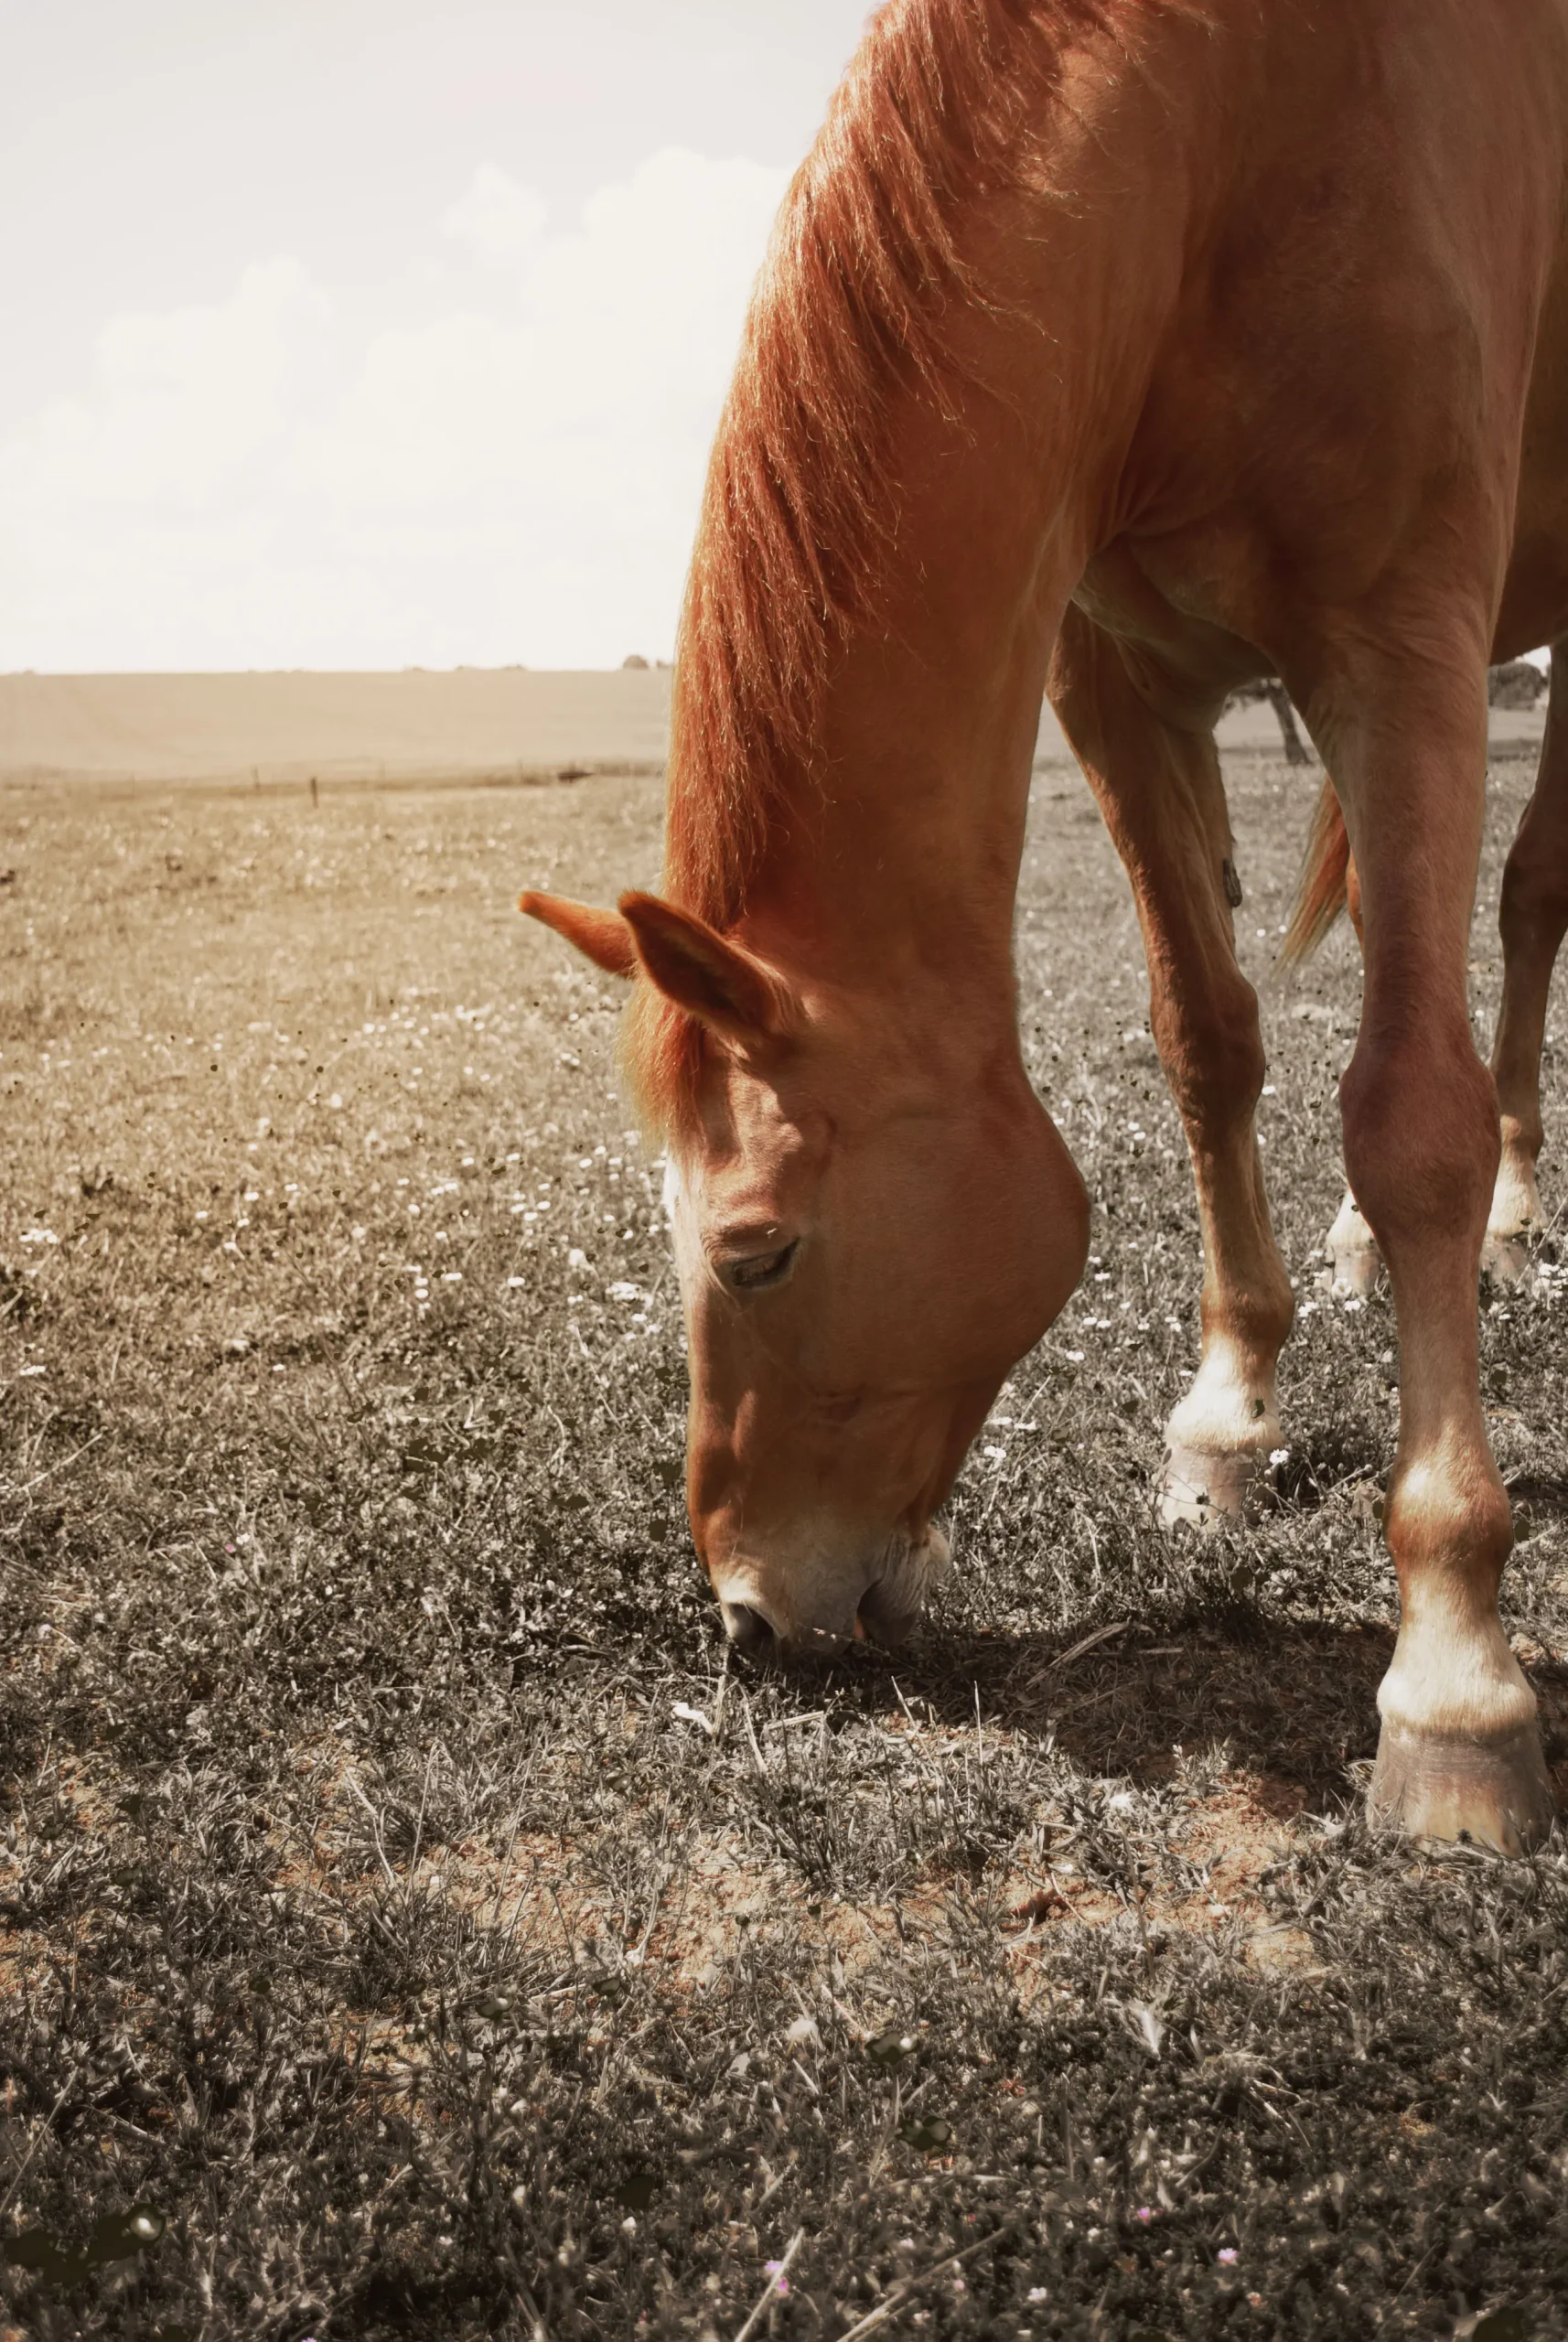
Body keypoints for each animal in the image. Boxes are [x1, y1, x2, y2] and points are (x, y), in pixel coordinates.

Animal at [520, 0, 1568, 1855]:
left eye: (755, 1249)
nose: (748, 1618)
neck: (1236, 139)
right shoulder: (1118, 685)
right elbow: (1204, 1040)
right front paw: (1225, 1421)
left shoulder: (1405, 648)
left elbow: (1409, 1117)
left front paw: (1453, 1690)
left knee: (1521, 914)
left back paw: (1513, 1214)